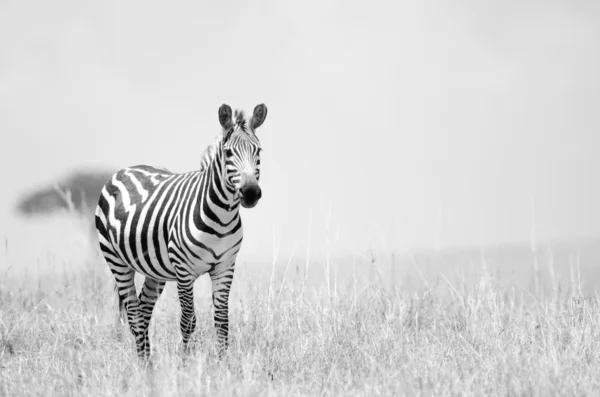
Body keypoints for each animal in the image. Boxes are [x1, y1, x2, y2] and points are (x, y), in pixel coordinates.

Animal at [94, 103, 268, 358]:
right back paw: (142, 364)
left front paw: (223, 363)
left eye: (259, 151)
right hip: (116, 261)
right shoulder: (184, 271)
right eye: (228, 153)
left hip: (154, 271)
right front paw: (185, 363)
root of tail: (127, 169)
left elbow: (222, 321)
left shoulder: (225, 267)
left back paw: (149, 363)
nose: (251, 193)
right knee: (134, 314)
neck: (222, 219)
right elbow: (188, 321)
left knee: (144, 310)